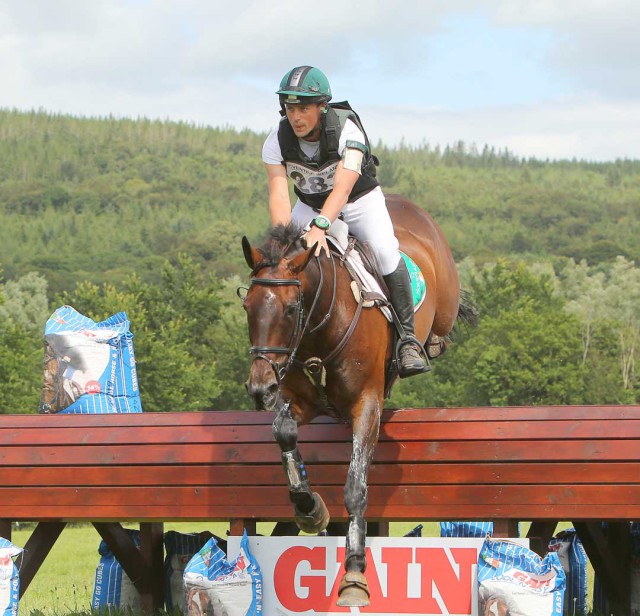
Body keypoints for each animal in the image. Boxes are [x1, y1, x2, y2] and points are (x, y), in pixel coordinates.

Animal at [240, 194, 476, 608]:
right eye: (247, 307)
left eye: (290, 309)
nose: (260, 388)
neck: (319, 326)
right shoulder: (298, 402)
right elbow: (284, 433)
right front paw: (309, 509)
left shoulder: (366, 406)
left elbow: (355, 485)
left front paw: (353, 573)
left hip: (443, 301)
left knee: (442, 324)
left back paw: (424, 346)